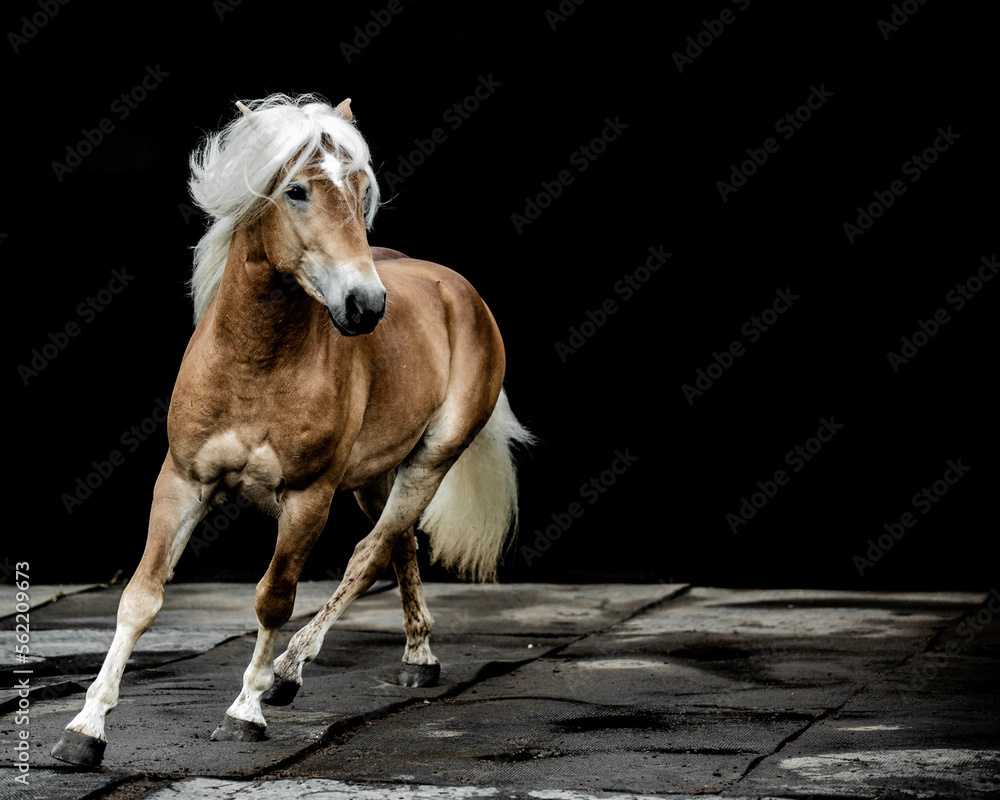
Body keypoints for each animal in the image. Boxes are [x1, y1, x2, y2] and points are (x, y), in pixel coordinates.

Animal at [51, 93, 533, 768]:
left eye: (360, 189)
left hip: (429, 460)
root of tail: (456, 289)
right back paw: (417, 658)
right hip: (374, 477)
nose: (365, 306)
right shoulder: (181, 482)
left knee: (370, 552)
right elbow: (141, 598)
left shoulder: (308, 499)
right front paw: (84, 728)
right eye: (297, 191)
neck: (256, 363)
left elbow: (273, 596)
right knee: (401, 544)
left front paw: (246, 710)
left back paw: (290, 672)